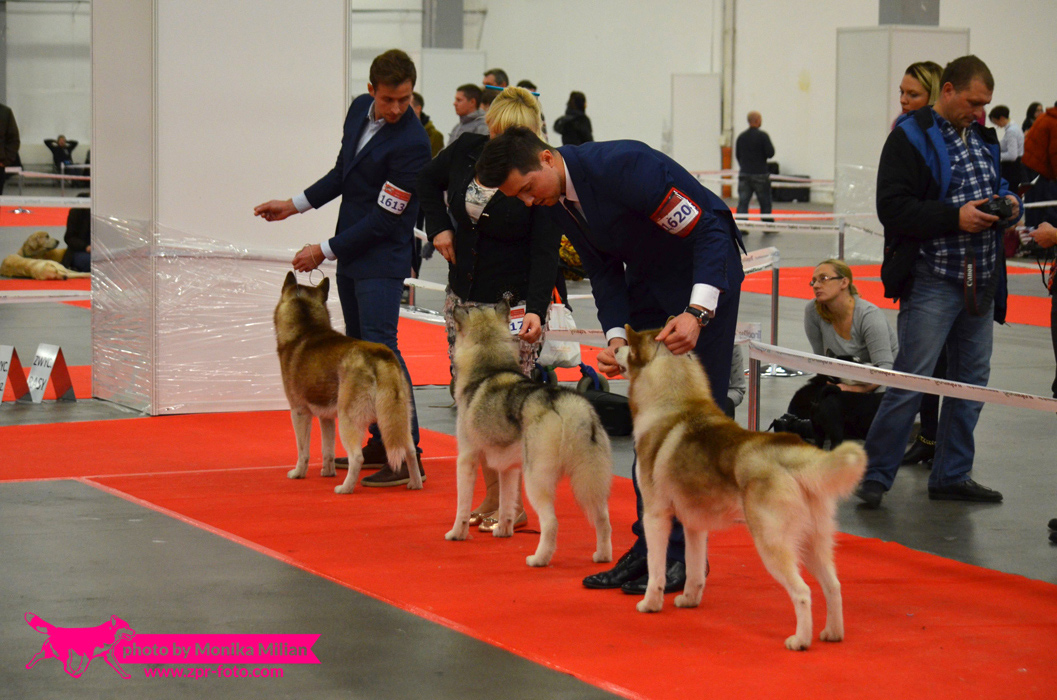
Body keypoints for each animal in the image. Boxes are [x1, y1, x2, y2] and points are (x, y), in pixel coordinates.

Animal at [274, 271, 420, 494]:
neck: (305, 329)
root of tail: (381, 355)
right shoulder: (326, 417)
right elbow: (327, 450)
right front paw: (327, 472)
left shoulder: (299, 412)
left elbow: (303, 451)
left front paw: (298, 473)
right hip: (398, 418)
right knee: (409, 450)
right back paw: (415, 483)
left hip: (348, 419)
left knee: (357, 457)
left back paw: (345, 488)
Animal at [445, 302, 612, 568]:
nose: (459, 305)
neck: (489, 367)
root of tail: (566, 404)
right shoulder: (508, 469)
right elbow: (506, 504)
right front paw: (503, 530)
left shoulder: (467, 460)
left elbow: (462, 506)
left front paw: (456, 533)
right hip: (589, 479)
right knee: (603, 520)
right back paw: (602, 556)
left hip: (536, 480)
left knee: (551, 523)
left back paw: (539, 558)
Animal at [616, 327, 867, 650]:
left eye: (629, 347)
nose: (613, 349)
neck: (673, 406)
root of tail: (789, 452)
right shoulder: (694, 524)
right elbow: (695, 568)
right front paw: (689, 599)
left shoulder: (656, 516)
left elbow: (656, 568)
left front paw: (650, 603)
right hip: (814, 541)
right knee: (833, 586)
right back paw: (833, 633)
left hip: (771, 542)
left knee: (802, 592)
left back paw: (800, 640)